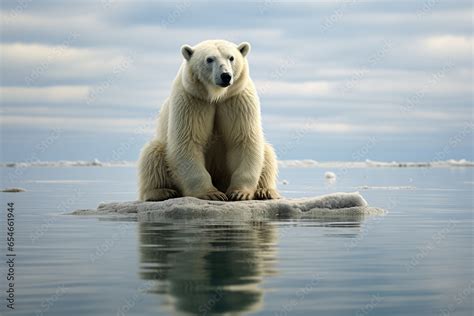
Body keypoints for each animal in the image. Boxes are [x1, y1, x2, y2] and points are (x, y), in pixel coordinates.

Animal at [137, 39, 280, 201]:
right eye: (209, 59)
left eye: (231, 57)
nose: (226, 76)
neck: (216, 96)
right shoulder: (192, 100)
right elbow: (187, 141)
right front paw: (212, 194)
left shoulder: (236, 99)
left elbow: (243, 140)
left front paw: (239, 192)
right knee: (152, 154)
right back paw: (162, 191)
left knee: (267, 153)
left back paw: (265, 191)